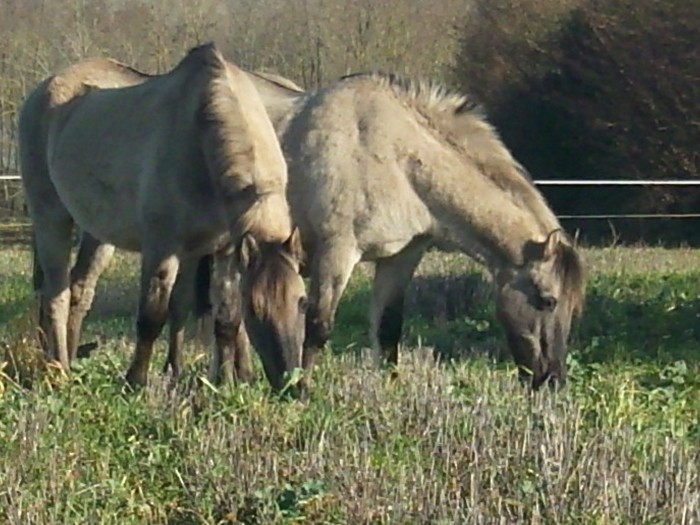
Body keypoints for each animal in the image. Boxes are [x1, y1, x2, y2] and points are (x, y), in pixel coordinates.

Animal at [17, 45, 308, 388]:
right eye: (256, 308)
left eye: (302, 301)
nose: (292, 383)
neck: (201, 135)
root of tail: (43, 91)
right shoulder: (161, 247)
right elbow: (153, 316)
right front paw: (136, 381)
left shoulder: (223, 250)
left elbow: (223, 318)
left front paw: (221, 381)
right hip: (51, 218)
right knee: (55, 295)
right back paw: (60, 370)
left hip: (98, 235)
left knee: (79, 290)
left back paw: (72, 362)